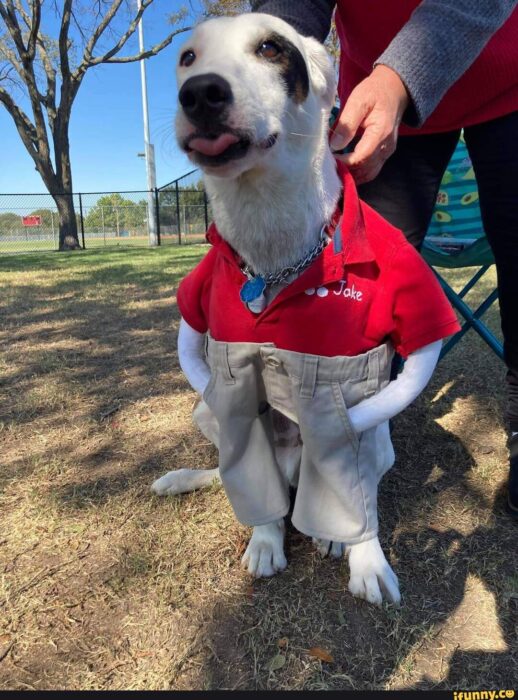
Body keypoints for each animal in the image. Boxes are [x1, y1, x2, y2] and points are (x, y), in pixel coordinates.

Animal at [152, 15, 452, 608]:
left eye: (270, 47)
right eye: (187, 57)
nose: (198, 93)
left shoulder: (357, 398)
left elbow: (356, 497)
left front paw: (366, 561)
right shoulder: (233, 387)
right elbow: (255, 483)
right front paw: (267, 543)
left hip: (377, 436)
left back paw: (336, 539)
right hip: (205, 411)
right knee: (237, 474)